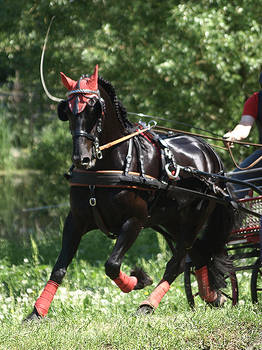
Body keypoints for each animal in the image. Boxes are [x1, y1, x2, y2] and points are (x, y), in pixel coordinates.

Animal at [25, 65, 236, 320]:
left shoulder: (134, 221)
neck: (107, 167)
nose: (81, 158)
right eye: (68, 111)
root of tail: (209, 152)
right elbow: (59, 268)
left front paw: (139, 279)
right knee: (199, 254)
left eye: (94, 108)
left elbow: (112, 265)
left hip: (195, 219)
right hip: (173, 220)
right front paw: (37, 312)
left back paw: (148, 304)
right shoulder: (76, 220)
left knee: (177, 263)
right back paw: (212, 297)